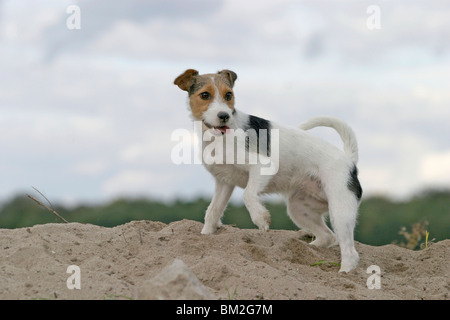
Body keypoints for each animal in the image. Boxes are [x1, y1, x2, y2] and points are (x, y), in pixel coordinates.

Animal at [172, 69, 362, 272]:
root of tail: (350, 161)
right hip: (300, 209)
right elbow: (212, 211)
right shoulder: (224, 182)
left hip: (340, 211)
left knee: (350, 252)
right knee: (328, 237)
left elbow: (248, 194)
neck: (218, 137)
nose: (224, 116)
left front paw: (260, 218)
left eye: (229, 95)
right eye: (205, 95)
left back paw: (344, 271)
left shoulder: (261, 166)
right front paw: (206, 234)